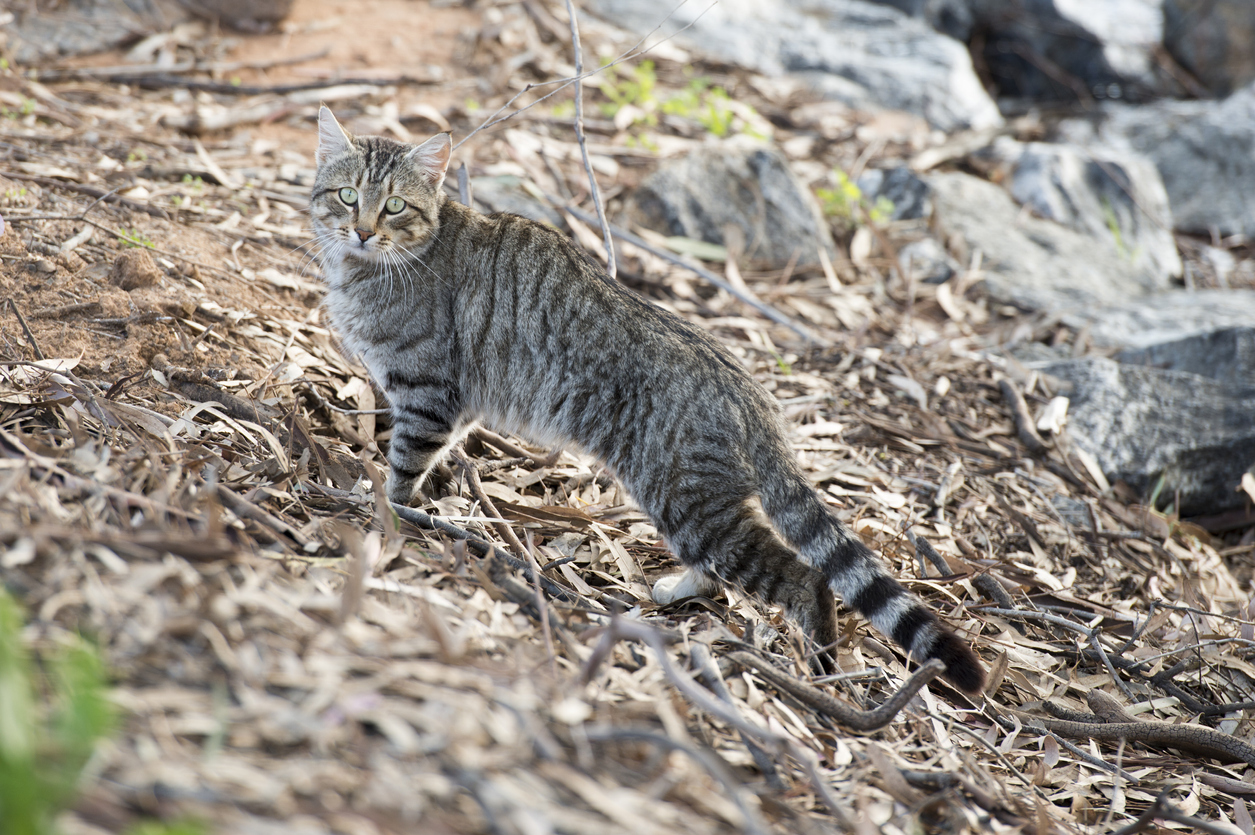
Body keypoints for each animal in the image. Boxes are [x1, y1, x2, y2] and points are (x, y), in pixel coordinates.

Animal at [308, 109, 983, 698]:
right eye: (346, 196)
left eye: (394, 205)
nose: (362, 229)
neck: (375, 266)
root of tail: (749, 393)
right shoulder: (453, 404)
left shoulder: (427, 392)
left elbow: (403, 468)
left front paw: (385, 512)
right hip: (695, 506)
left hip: (686, 499)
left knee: (806, 576)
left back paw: (820, 665)